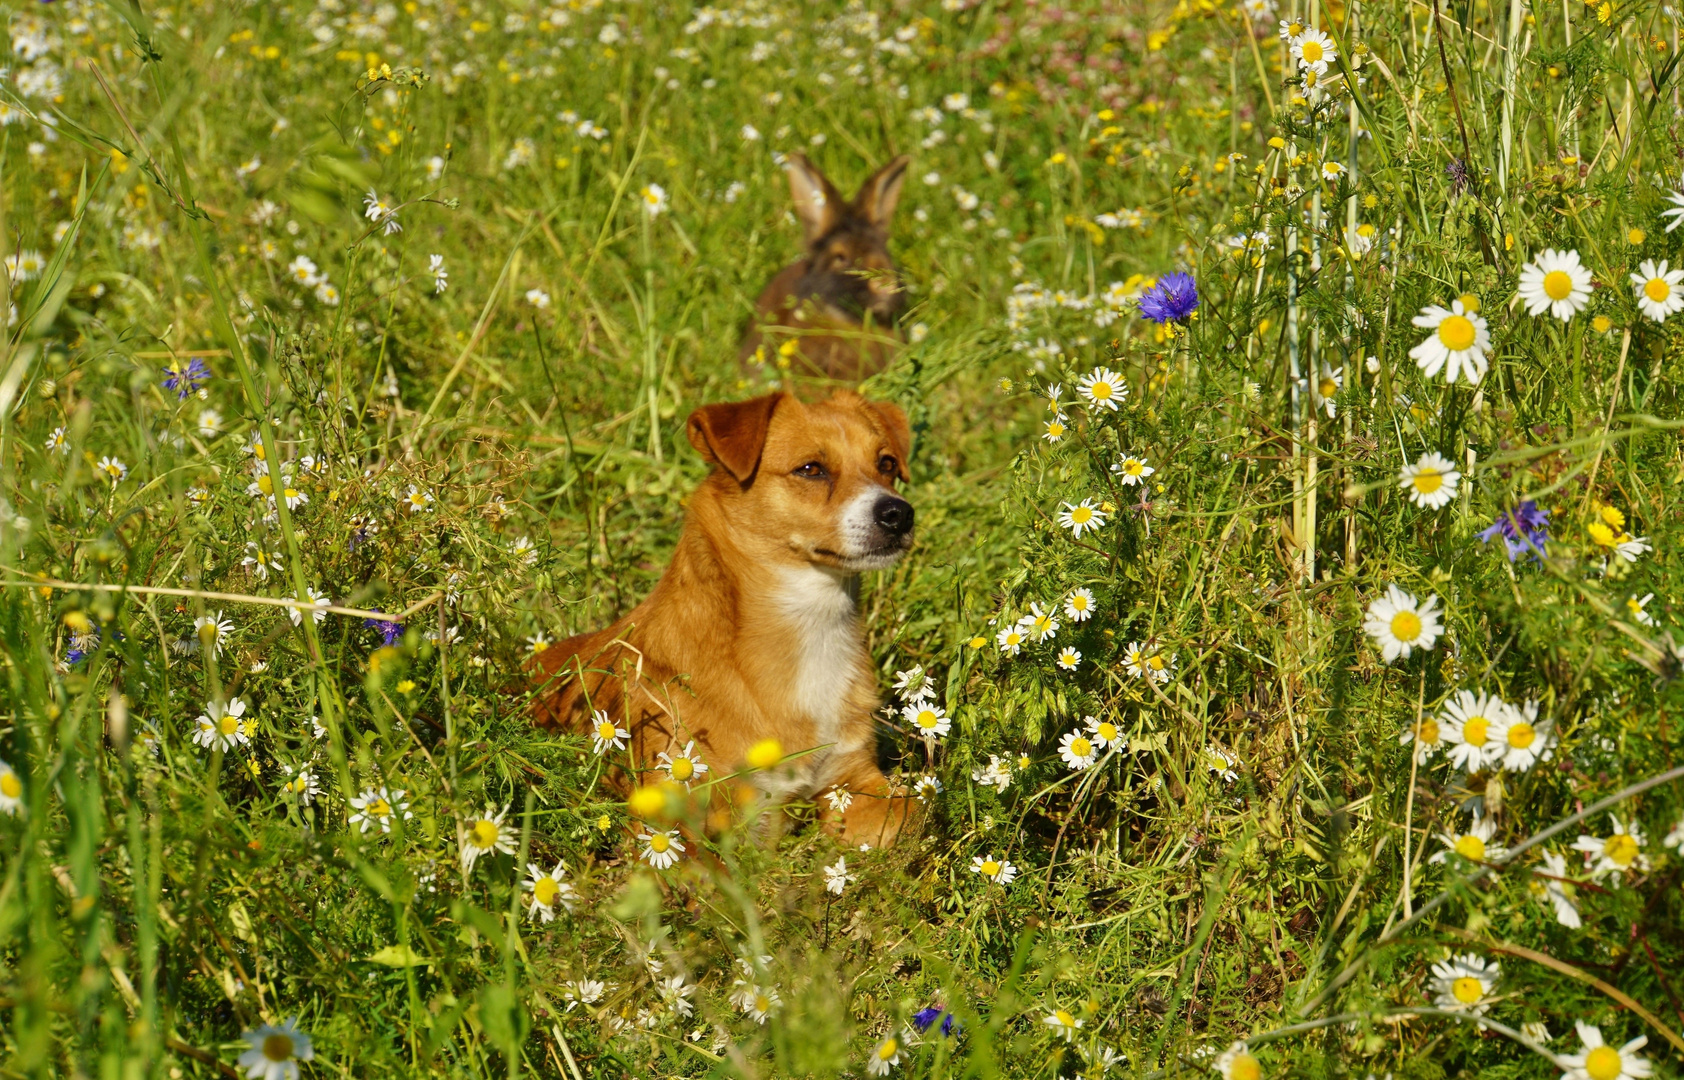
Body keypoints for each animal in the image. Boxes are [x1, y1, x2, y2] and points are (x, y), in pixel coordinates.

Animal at [532, 387, 916, 842]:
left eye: (886, 464)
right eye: (811, 469)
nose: (898, 513)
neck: (808, 624)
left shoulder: (855, 780)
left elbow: (911, 811)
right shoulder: (671, 809)